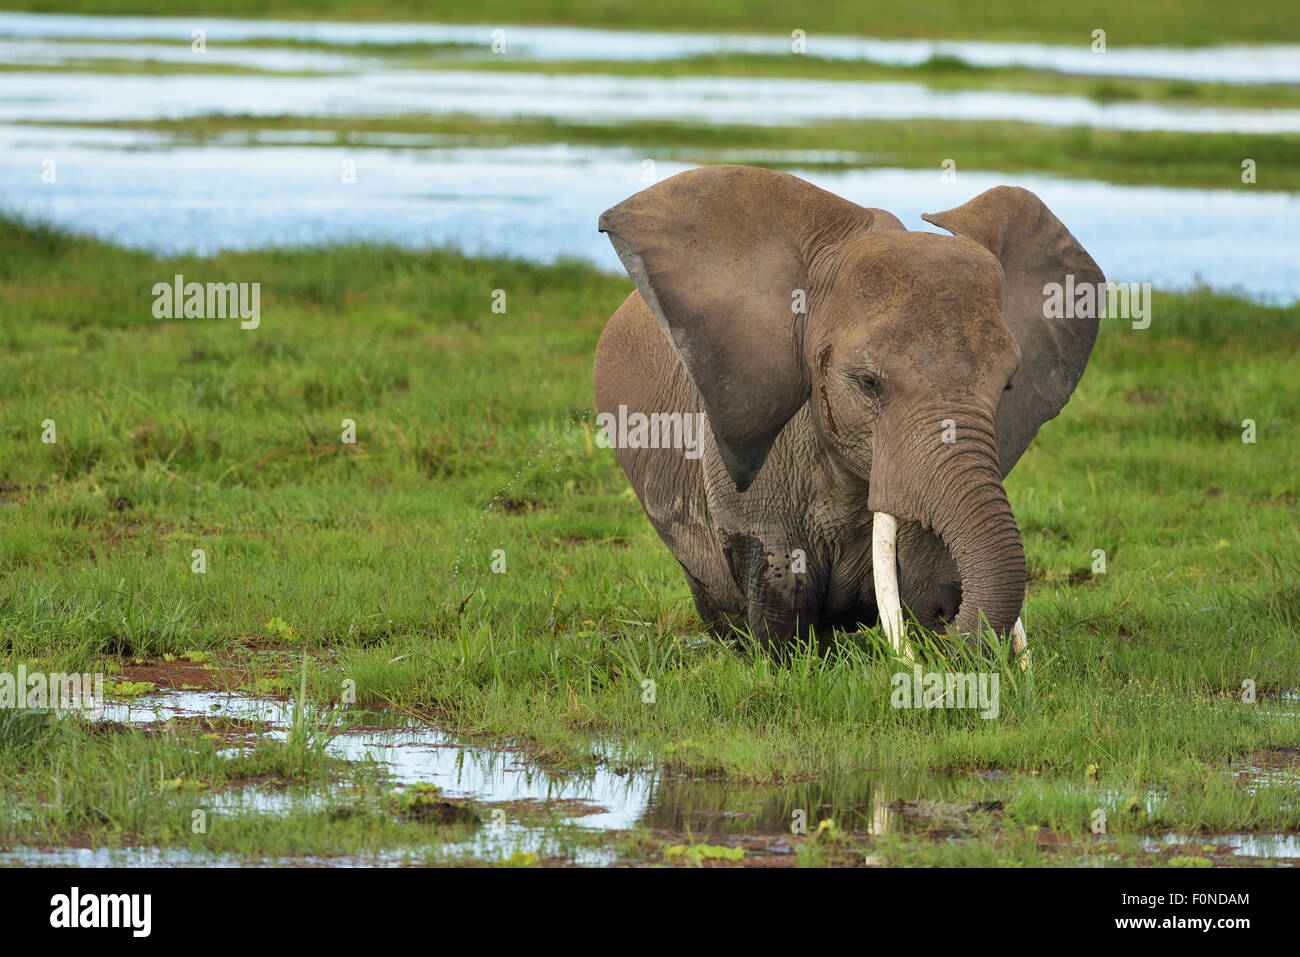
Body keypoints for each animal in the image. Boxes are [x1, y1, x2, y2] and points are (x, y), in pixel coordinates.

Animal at [595, 166, 1102, 657]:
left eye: (1007, 388)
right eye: (868, 384)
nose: (952, 634)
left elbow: (926, 574)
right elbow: (782, 581)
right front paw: (786, 661)